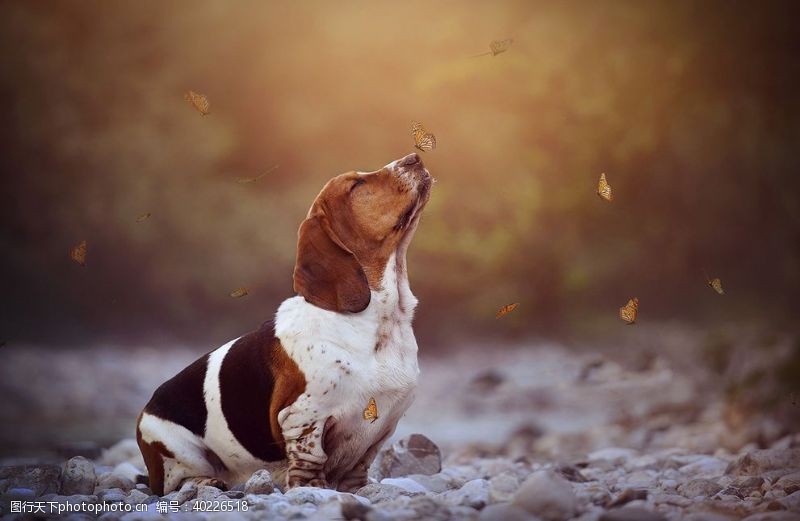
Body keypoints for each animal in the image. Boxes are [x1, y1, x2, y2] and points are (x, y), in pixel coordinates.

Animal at [136, 152, 432, 494]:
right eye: (356, 185)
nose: (414, 157)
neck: (379, 321)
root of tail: (146, 409)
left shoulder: (381, 428)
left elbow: (360, 466)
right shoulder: (302, 418)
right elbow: (310, 457)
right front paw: (312, 488)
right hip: (177, 450)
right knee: (177, 483)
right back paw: (206, 481)